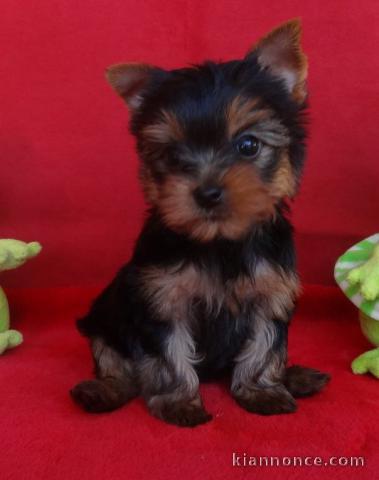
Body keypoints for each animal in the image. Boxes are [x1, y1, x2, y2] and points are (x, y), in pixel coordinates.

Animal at [70, 18, 330, 428]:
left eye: (248, 145)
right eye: (174, 155)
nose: (206, 193)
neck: (220, 241)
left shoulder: (271, 291)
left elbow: (265, 346)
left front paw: (261, 391)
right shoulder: (162, 298)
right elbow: (169, 354)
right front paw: (180, 403)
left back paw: (296, 376)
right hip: (104, 318)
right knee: (117, 365)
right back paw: (103, 391)